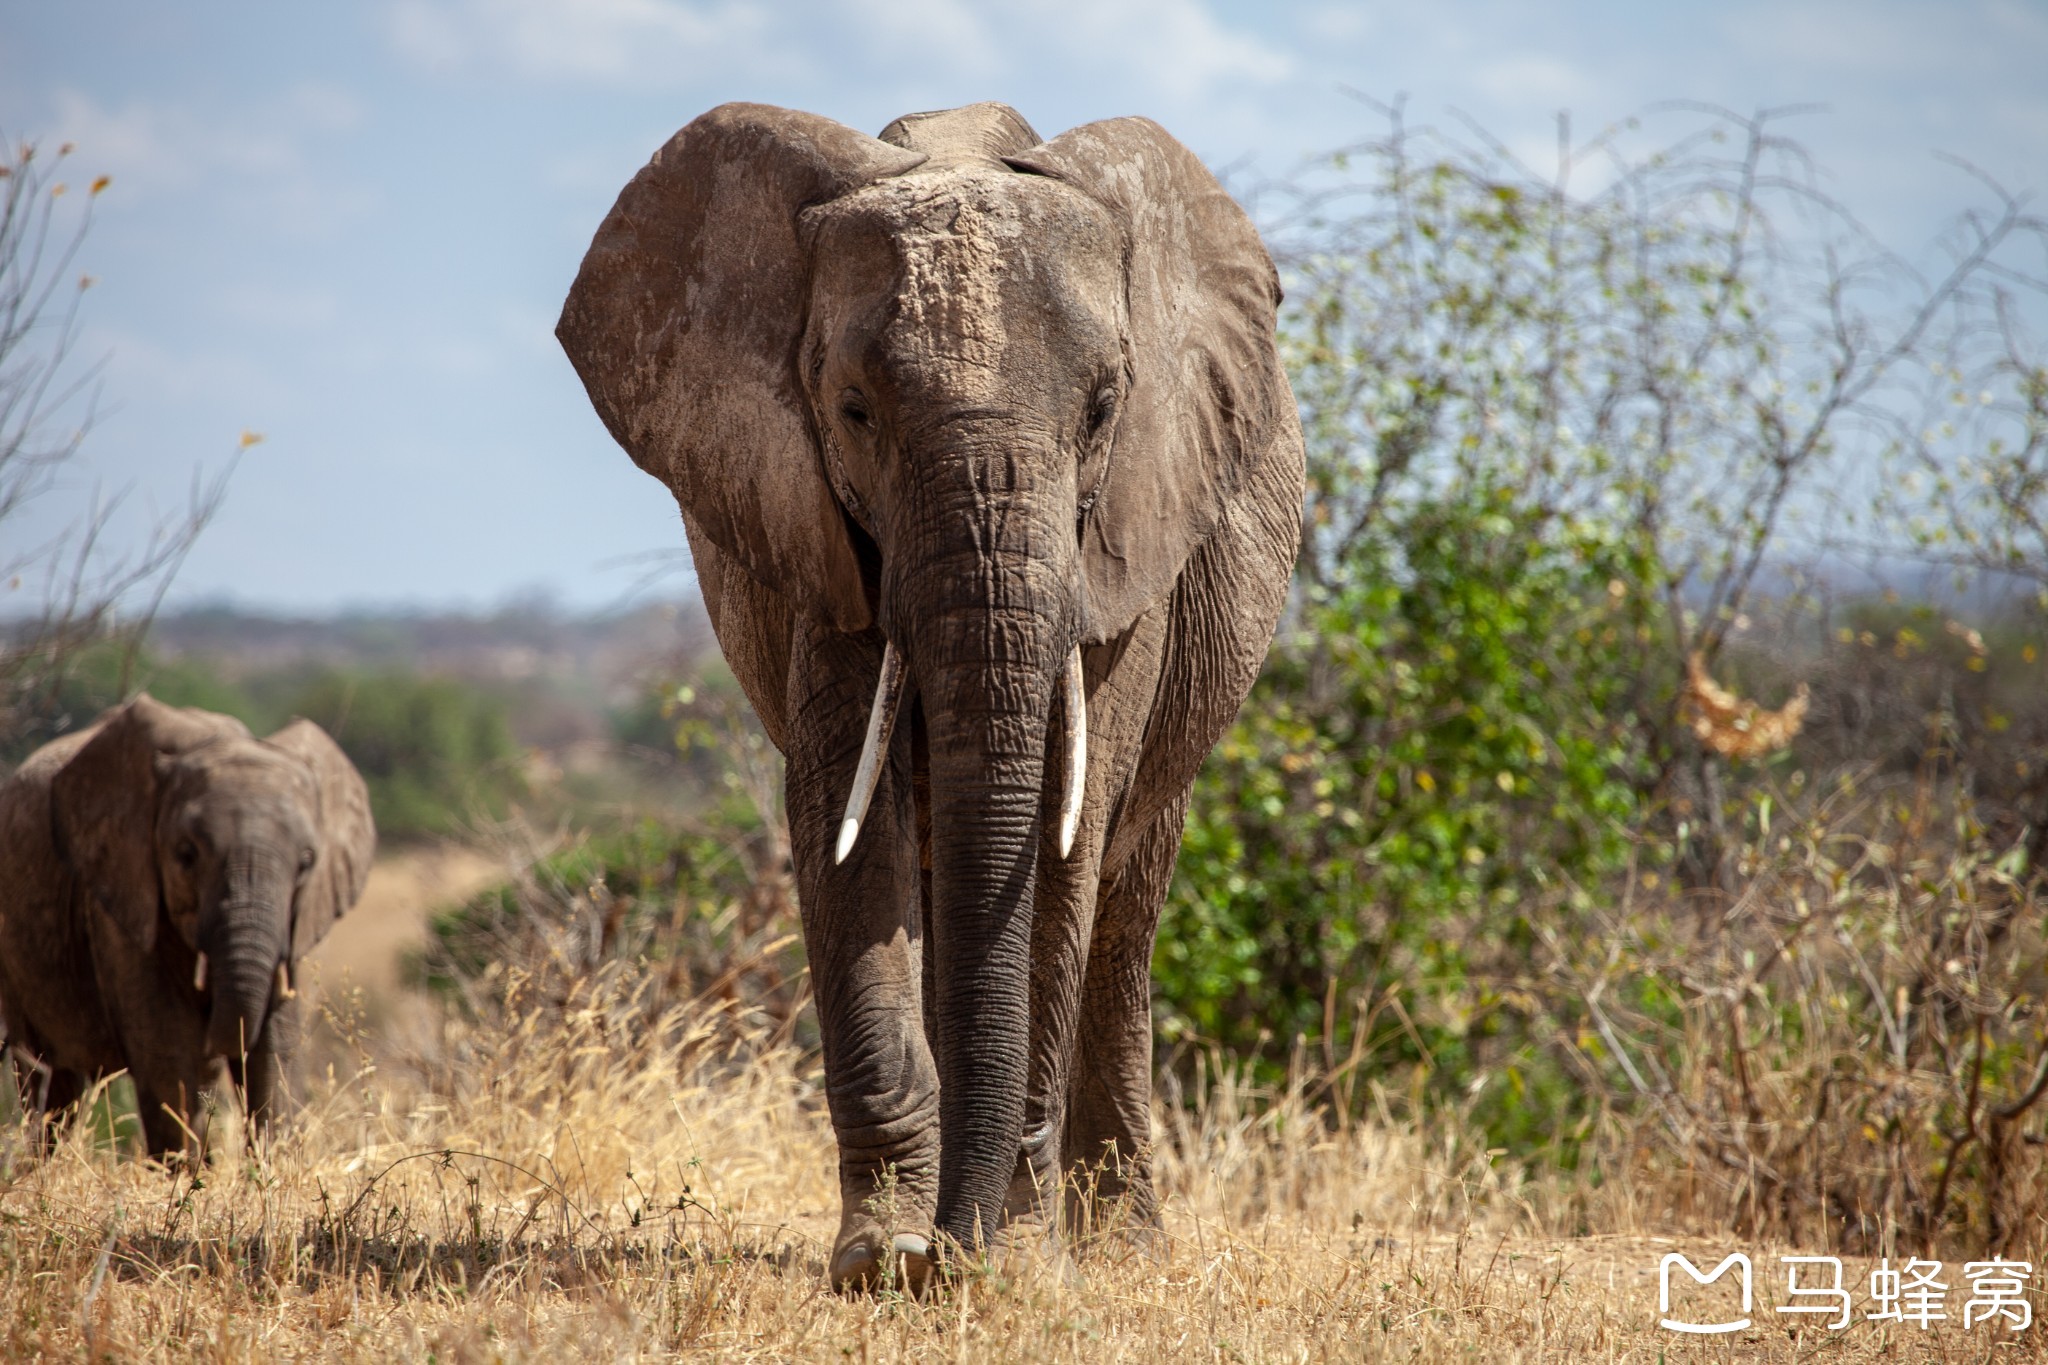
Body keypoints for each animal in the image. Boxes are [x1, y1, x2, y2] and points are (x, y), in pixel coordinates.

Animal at [0, 699, 376, 1162]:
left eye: (307, 861)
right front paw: (187, 1172)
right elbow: (168, 1051)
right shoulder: (122, 896)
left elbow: (275, 1047)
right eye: (186, 855)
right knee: (48, 1083)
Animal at [552, 104, 1302, 1293]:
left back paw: (1120, 1246)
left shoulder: (1125, 541)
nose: (954, 1253)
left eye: (1105, 410)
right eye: (853, 410)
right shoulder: (812, 527)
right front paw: (882, 1258)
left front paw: (1018, 1263)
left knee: (1124, 910)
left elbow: (1063, 839)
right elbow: (842, 824)